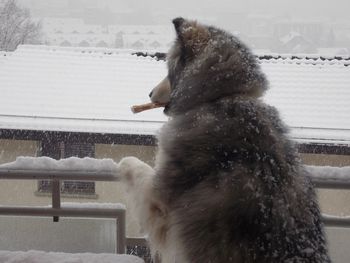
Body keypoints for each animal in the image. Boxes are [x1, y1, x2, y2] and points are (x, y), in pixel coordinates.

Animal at [118, 17, 330, 262]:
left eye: (168, 70)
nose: (150, 93)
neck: (220, 98)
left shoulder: (158, 199)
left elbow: (131, 163)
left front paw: (121, 164)